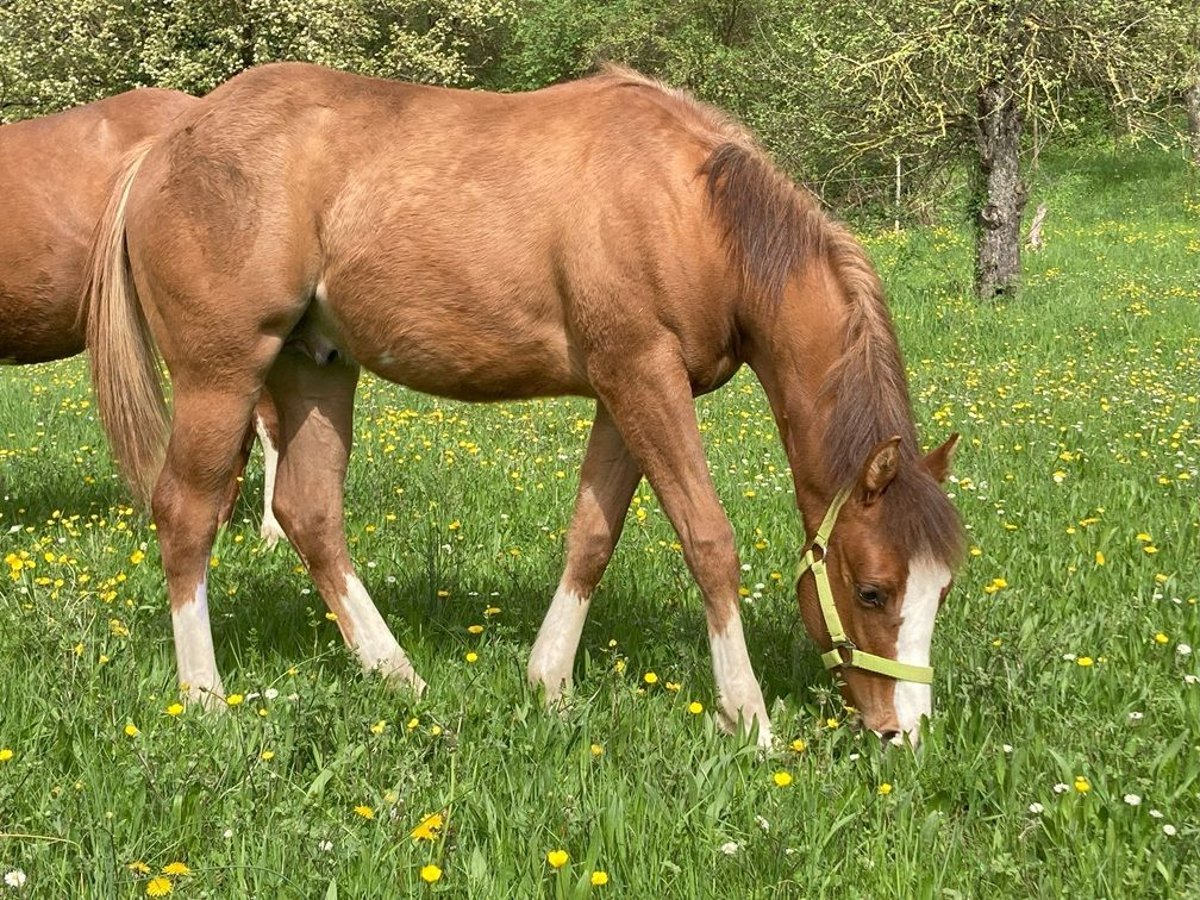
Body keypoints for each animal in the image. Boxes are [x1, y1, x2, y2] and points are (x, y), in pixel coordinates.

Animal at [85, 62, 964, 748]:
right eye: (873, 590)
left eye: (944, 590)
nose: (904, 732)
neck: (695, 213)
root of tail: (165, 146)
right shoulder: (642, 379)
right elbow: (709, 540)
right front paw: (746, 716)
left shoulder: (626, 392)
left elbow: (592, 538)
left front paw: (550, 684)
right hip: (223, 374)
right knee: (186, 514)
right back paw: (206, 698)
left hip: (315, 369)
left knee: (310, 517)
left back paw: (398, 675)